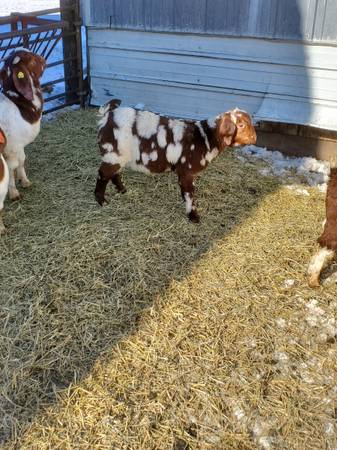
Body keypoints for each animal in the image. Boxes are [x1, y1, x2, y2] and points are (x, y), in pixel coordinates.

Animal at [0, 47, 45, 202]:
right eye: (30, 59)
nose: (43, 59)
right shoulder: (11, 147)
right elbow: (11, 167)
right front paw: (14, 193)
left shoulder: (18, 144)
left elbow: (22, 160)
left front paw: (25, 181)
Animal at [93, 101, 256, 222]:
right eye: (241, 125)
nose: (254, 138)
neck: (204, 138)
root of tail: (107, 116)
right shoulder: (187, 171)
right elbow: (189, 194)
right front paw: (193, 216)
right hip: (112, 154)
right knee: (102, 175)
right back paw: (101, 201)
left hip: (119, 156)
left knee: (114, 173)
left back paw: (122, 190)